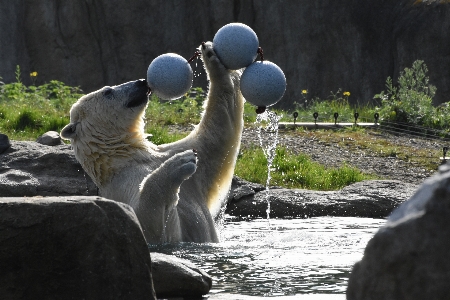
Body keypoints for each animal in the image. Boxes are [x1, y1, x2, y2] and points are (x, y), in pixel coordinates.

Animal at [60, 42, 244, 244]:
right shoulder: (121, 188)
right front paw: (180, 163)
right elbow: (148, 224)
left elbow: (217, 131)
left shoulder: (177, 154)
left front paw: (211, 54)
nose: (141, 82)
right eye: (108, 91)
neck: (124, 156)